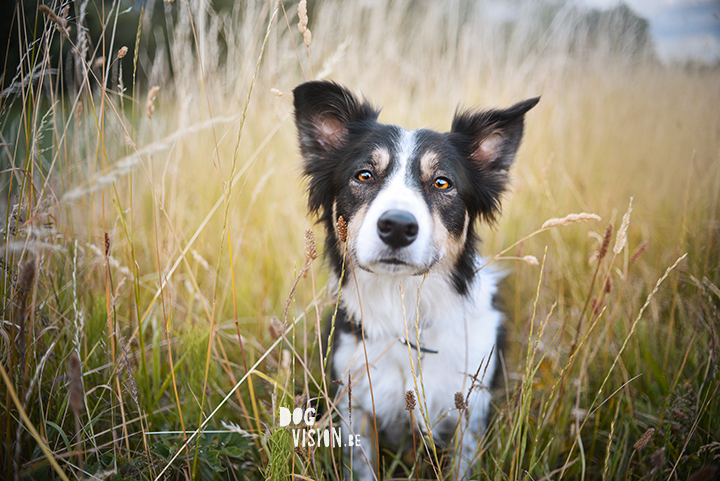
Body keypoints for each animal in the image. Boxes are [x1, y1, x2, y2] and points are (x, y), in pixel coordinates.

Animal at [294, 80, 540, 478]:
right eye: (364, 175)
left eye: (442, 183)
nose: (397, 226)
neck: (405, 308)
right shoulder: (354, 404)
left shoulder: (469, 410)